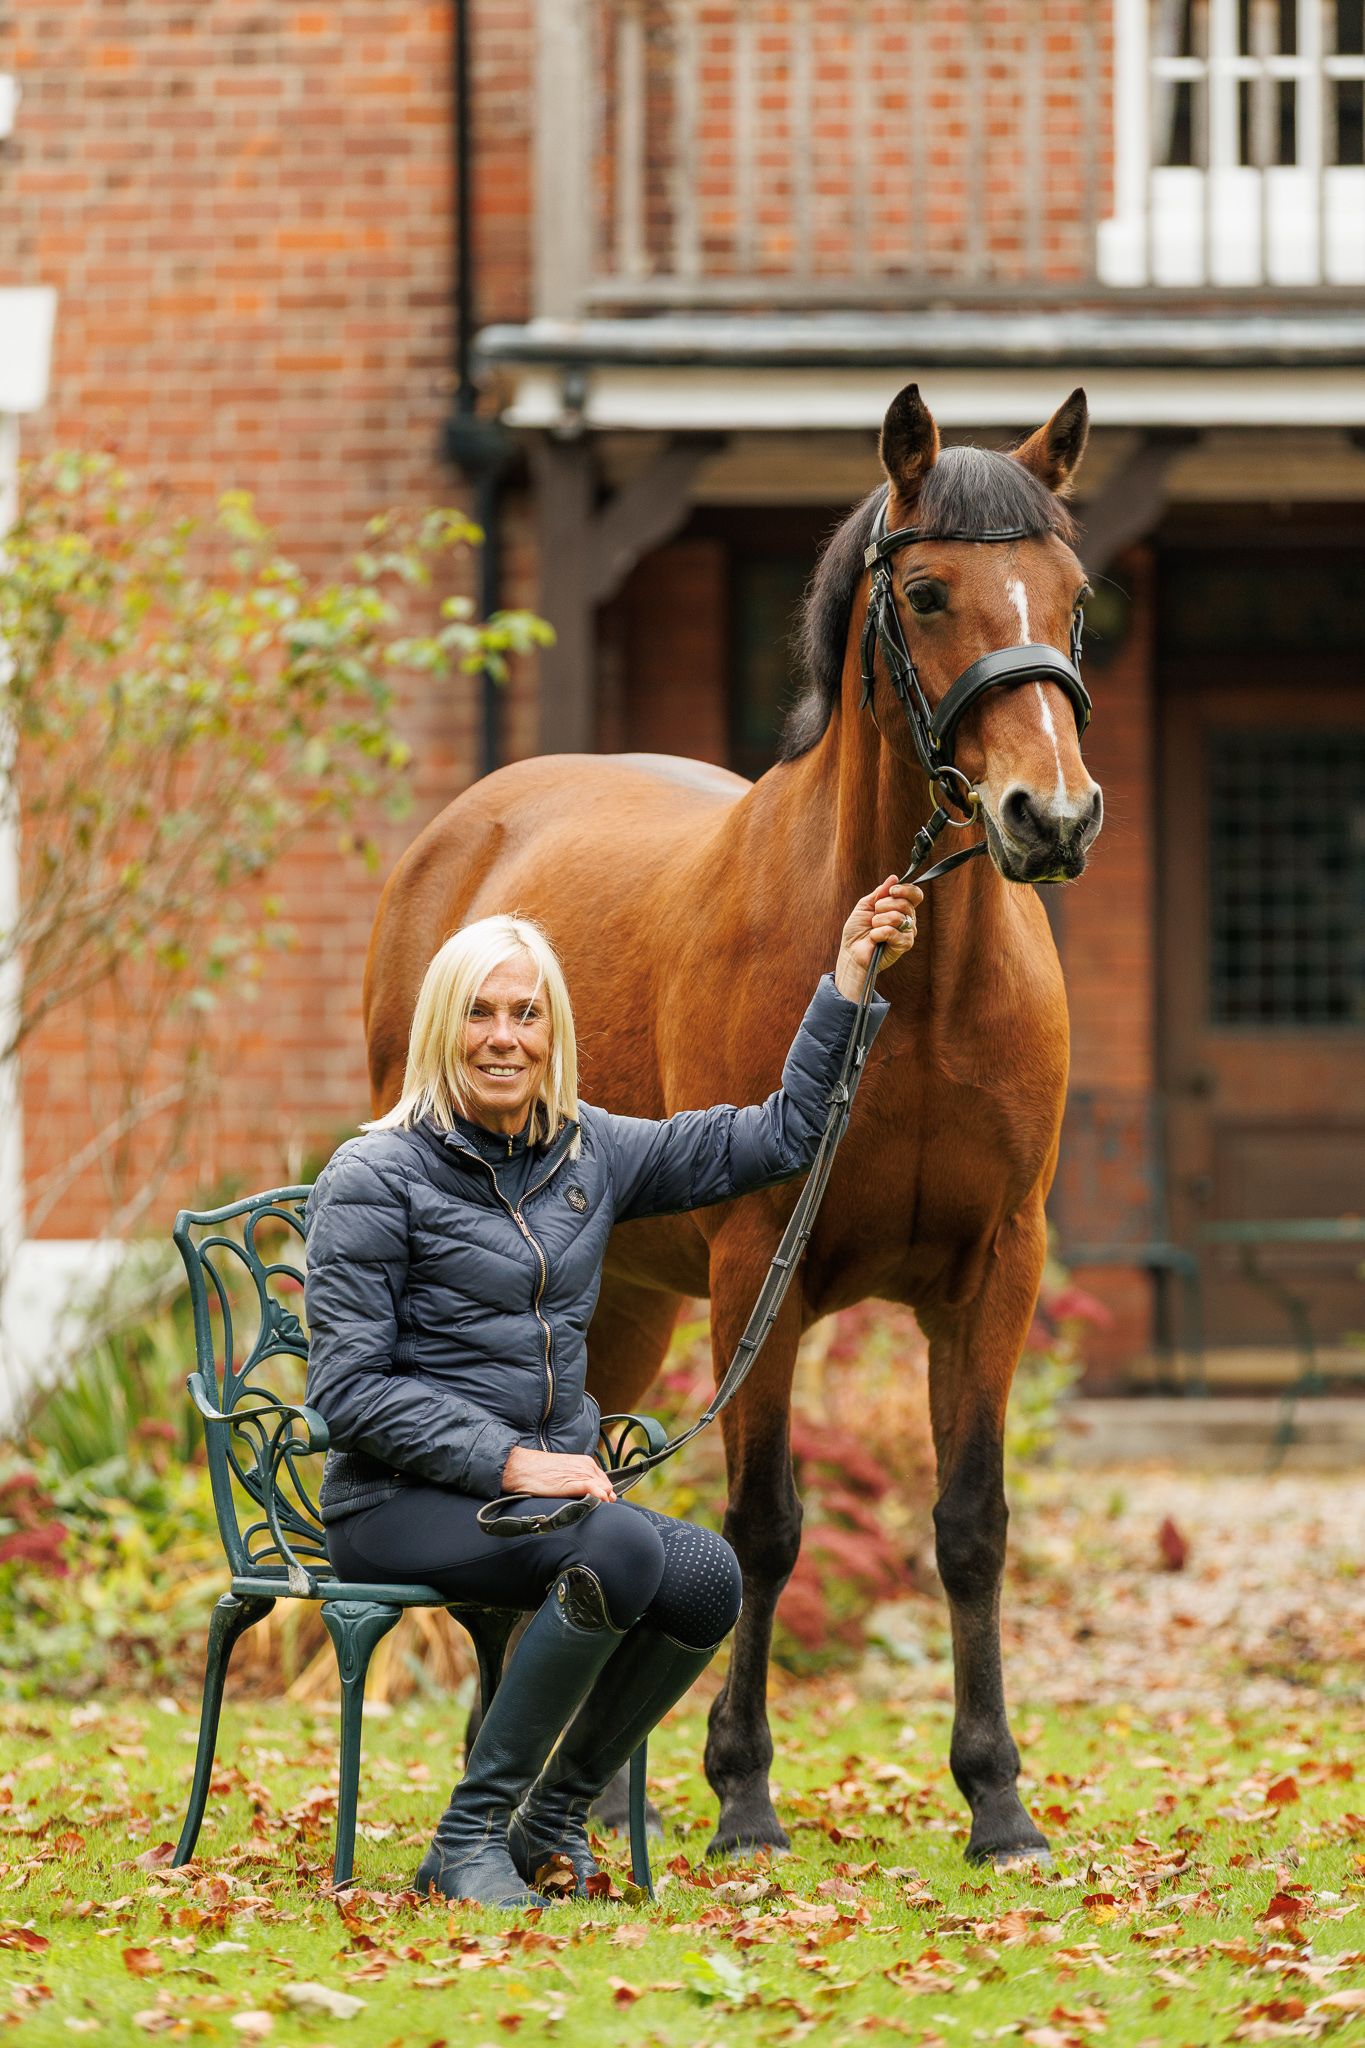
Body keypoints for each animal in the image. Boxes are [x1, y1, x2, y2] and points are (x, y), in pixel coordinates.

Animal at [363, 382, 1102, 1865]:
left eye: (1076, 597)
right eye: (927, 592)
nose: (1048, 816)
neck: (911, 994)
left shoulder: (996, 1271)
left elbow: (972, 1521)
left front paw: (998, 1800)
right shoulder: (763, 1266)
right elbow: (762, 1525)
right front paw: (746, 1794)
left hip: (620, 1310)